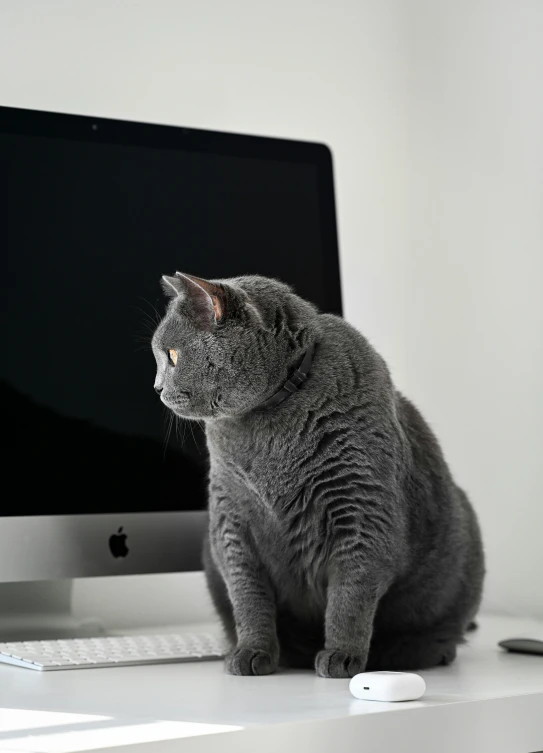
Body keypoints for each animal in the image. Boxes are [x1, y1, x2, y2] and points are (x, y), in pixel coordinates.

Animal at [152, 270, 484, 676]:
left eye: (172, 355)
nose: (156, 387)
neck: (267, 420)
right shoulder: (230, 520)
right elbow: (248, 596)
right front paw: (251, 653)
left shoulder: (360, 510)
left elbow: (350, 595)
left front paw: (342, 656)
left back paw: (417, 652)